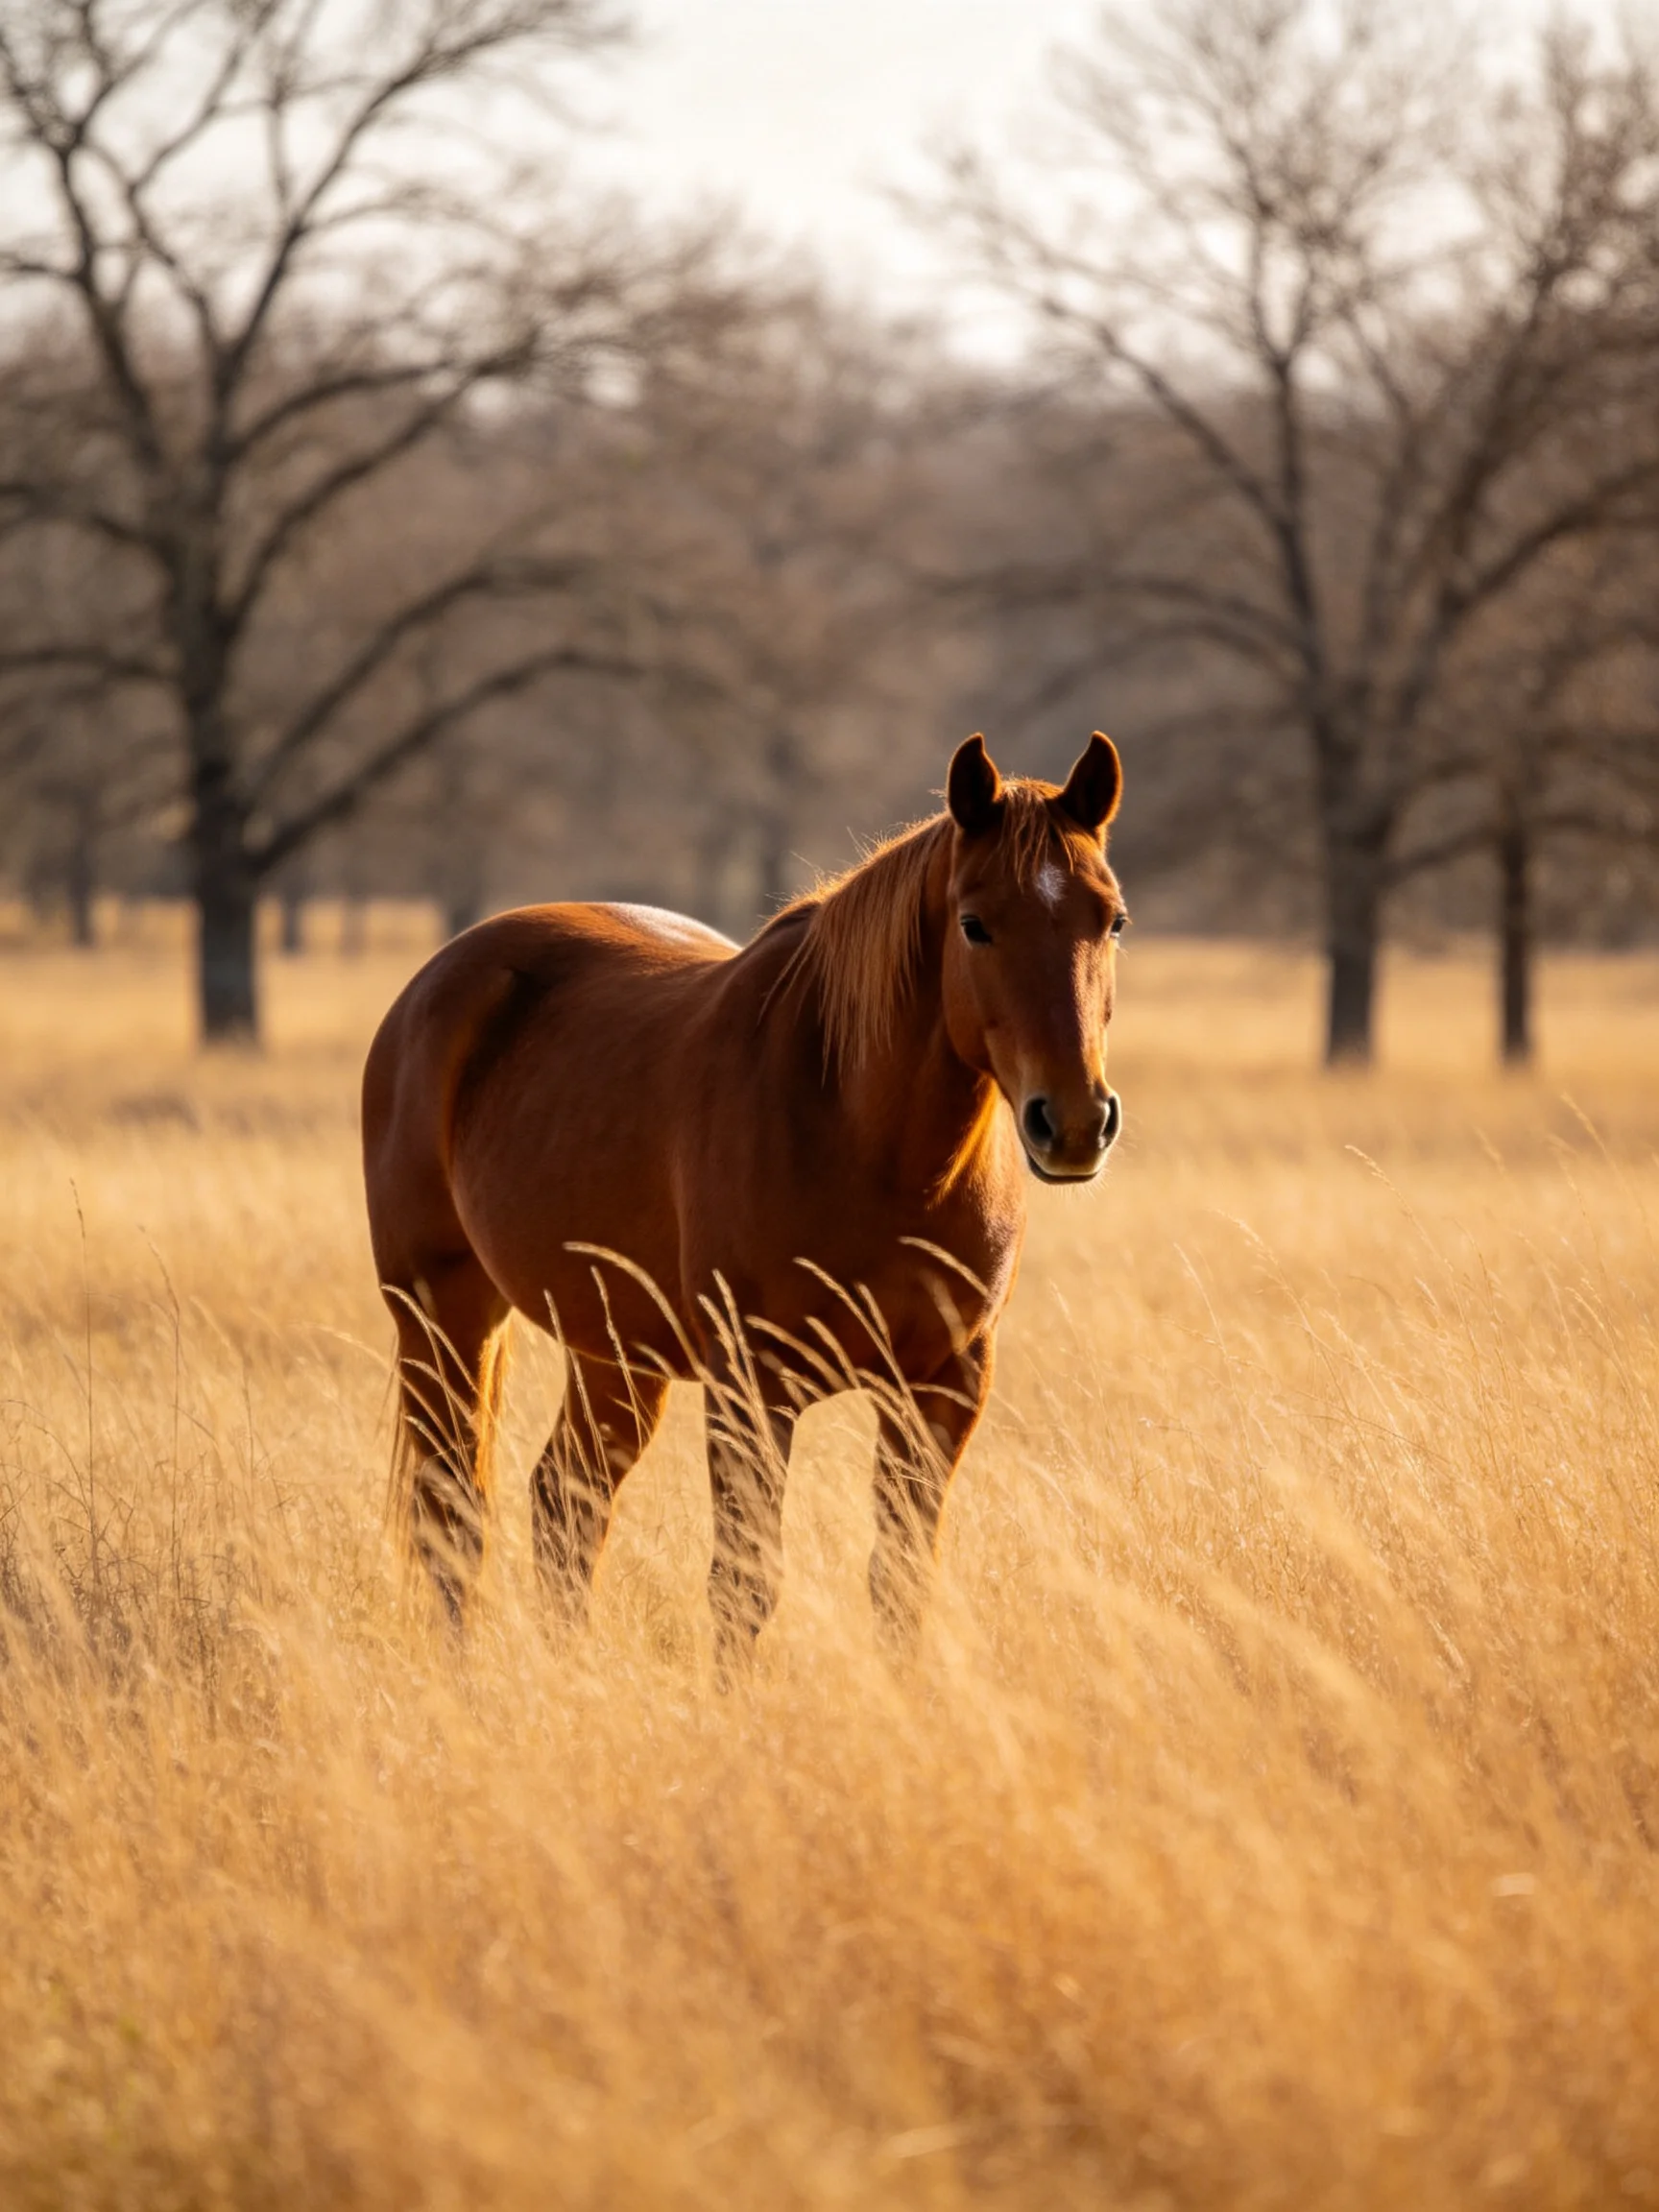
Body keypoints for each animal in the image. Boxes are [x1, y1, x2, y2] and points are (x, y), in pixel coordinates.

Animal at [361, 730, 1127, 1670]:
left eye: (1111, 920)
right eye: (975, 924)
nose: (1076, 1121)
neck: (872, 1142)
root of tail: (436, 982)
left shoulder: (945, 1387)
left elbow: (900, 1583)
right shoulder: (752, 1385)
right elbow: (743, 1587)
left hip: (616, 1353)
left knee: (565, 1505)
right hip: (443, 1317)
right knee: (454, 1515)